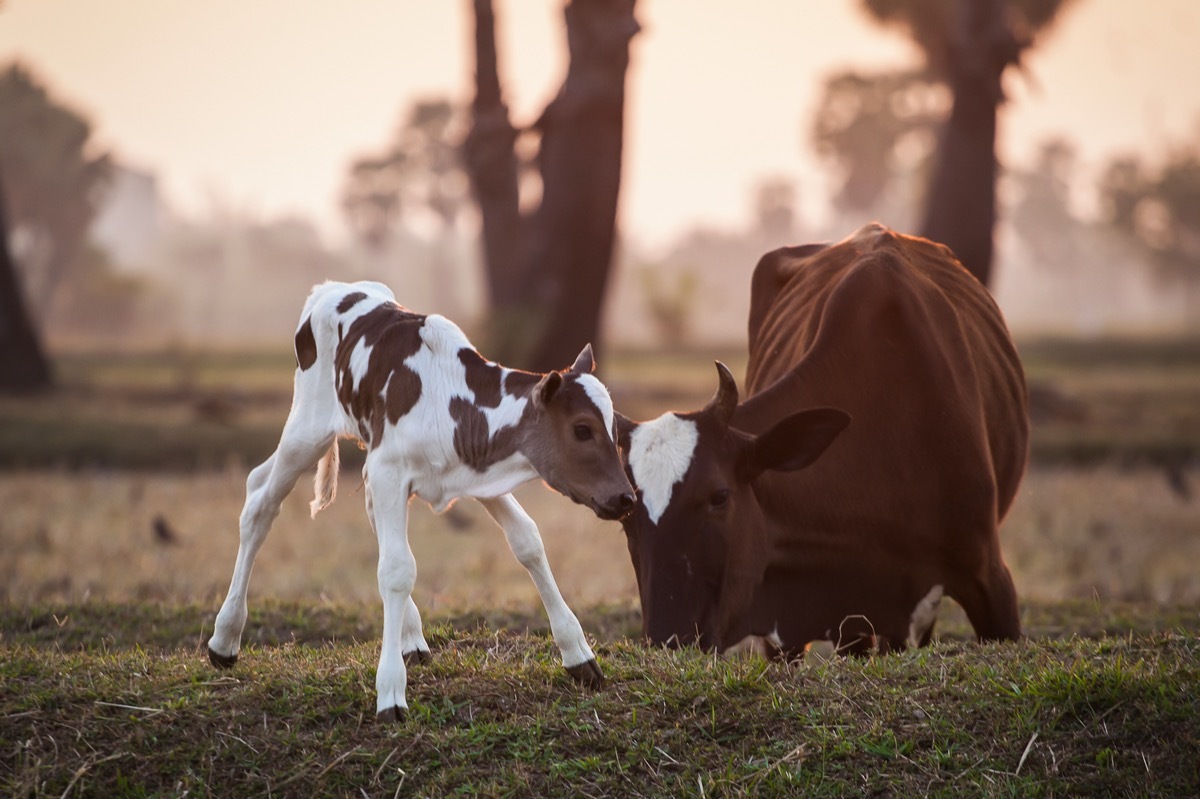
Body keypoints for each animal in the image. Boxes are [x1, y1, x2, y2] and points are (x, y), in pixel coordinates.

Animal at [208, 281, 638, 719]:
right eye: (582, 429)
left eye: (612, 426)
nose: (626, 497)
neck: (448, 400)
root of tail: (332, 288)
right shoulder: (390, 469)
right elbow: (397, 568)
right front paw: (390, 691)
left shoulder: (473, 471)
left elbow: (528, 541)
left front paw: (577, 652)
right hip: (307, 430)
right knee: (260, 502)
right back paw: (225, 638)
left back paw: (411, 637)